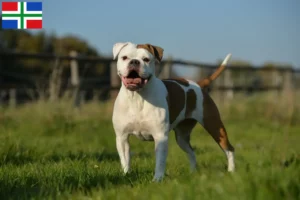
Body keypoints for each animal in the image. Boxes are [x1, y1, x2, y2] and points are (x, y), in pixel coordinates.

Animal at [111, 42, 236, 181]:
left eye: (146, 59)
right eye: (124, 57)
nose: (134, 61)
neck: (137, 97)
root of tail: (198, 84)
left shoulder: (160, 136)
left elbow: (160, 162)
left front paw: (157, 180)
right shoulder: (122, 137)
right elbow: (125, 160)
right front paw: (126, 175)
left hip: (215, 126)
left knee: (229, 149)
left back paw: (231, 171)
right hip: (182, 137)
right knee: (192, 152)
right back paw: (193, 172)